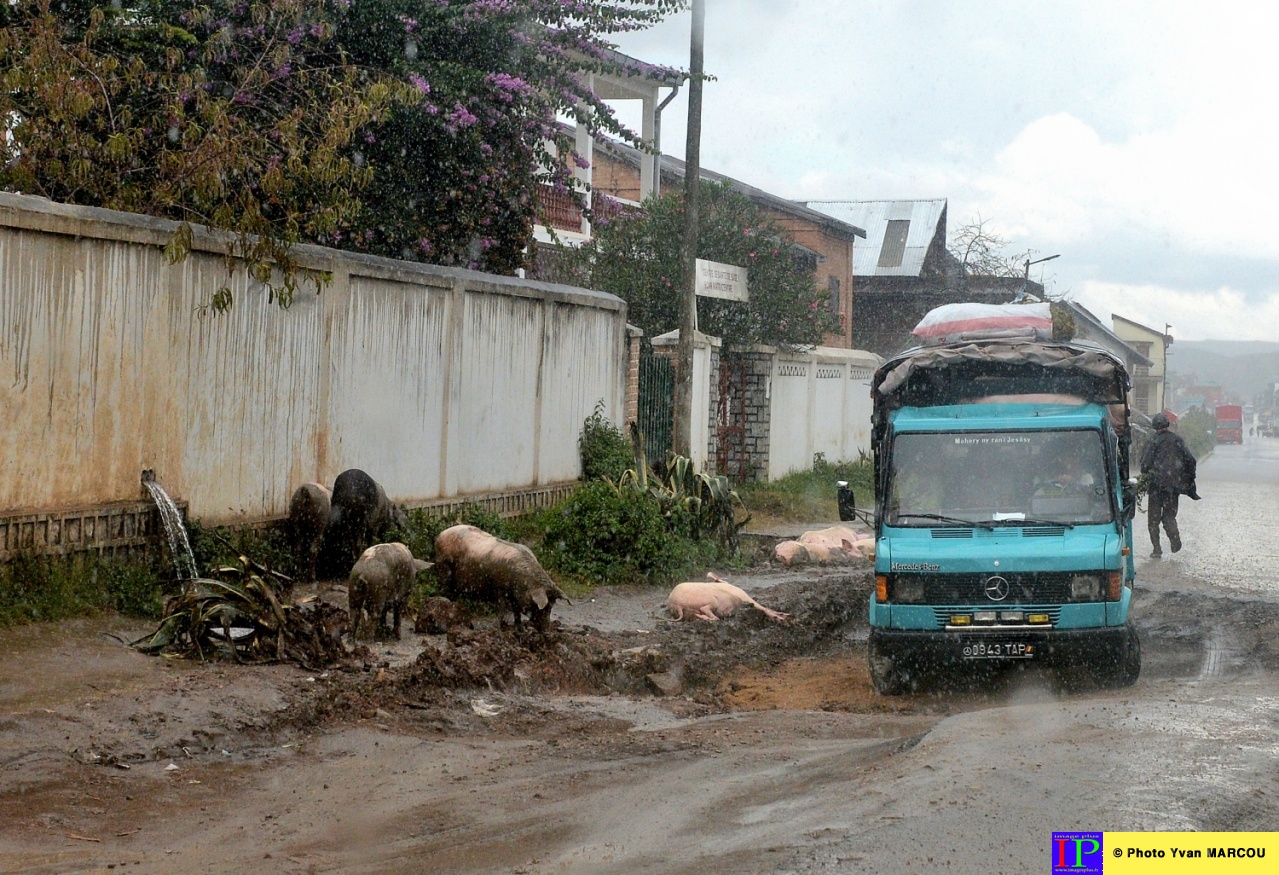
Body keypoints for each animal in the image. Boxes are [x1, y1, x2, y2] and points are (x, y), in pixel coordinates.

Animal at [434, 521, 565, 631]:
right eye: (542, 607)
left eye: (551, 606)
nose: (546, 630)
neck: (523, 583)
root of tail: (440, 534)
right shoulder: (499, 590)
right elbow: (501, 610)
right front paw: (501, 628)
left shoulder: (515, 596)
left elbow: (517, 611)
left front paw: (521, 629)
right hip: (443, 568)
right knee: (444, 591)